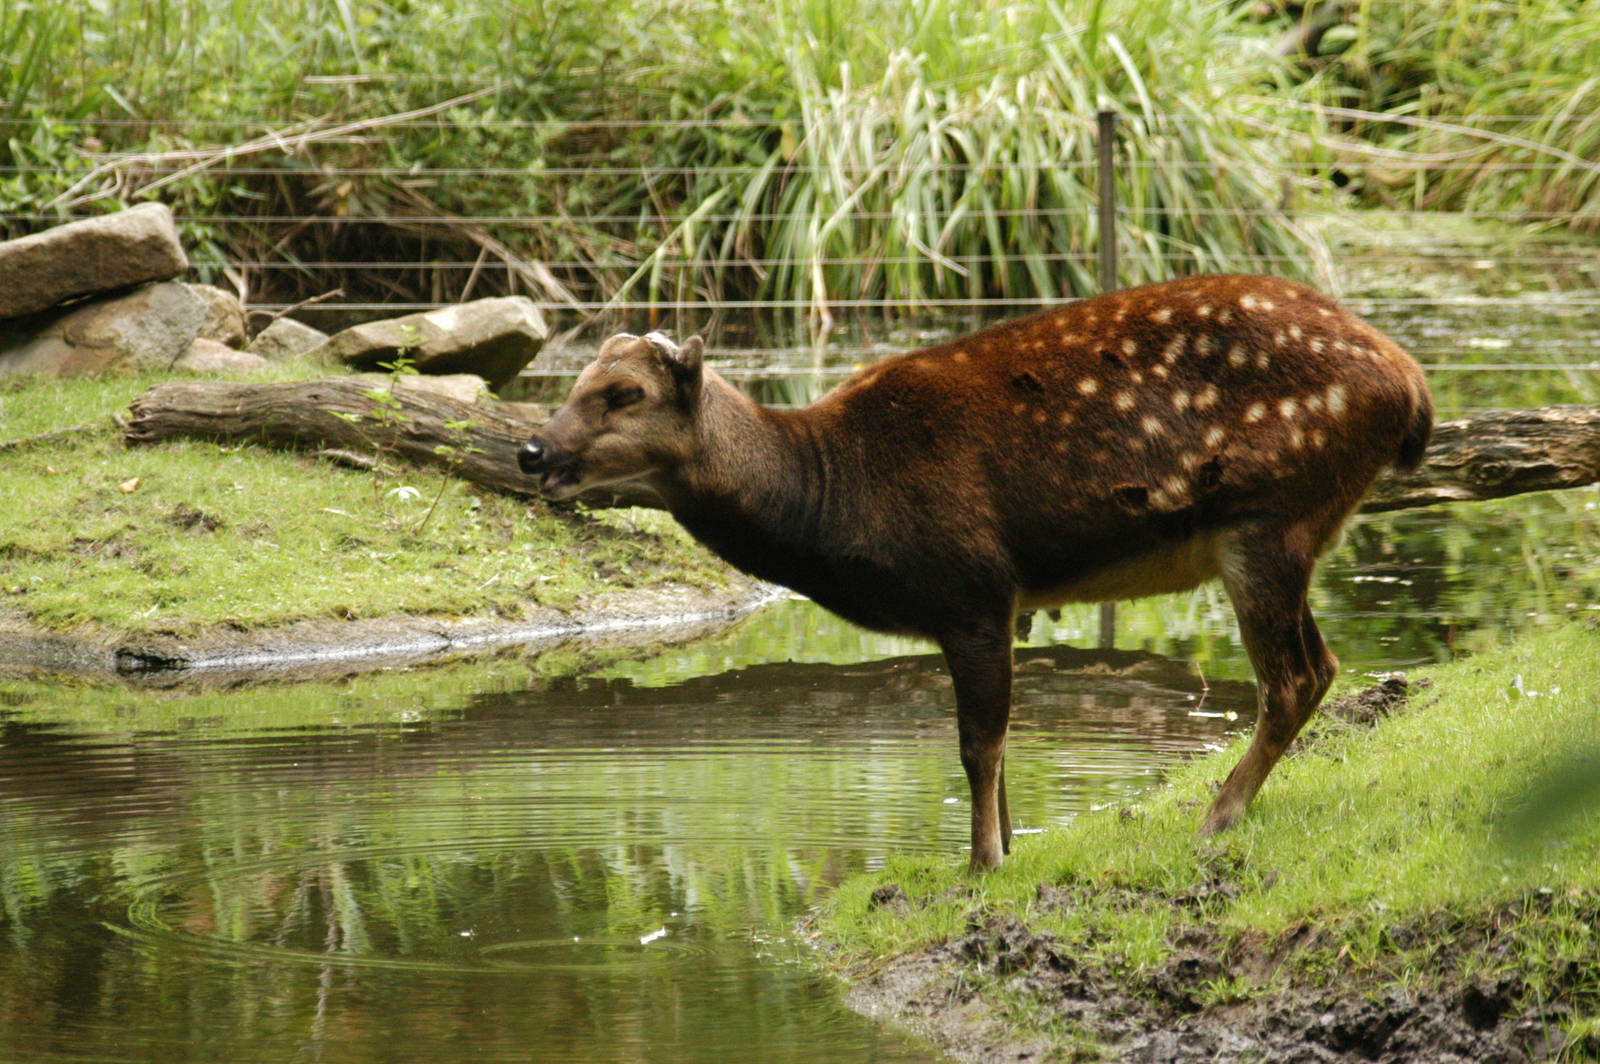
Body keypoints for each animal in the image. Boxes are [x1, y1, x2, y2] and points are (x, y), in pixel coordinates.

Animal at [518, 275, 1433, 872]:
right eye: (575, 382)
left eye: (624, 394)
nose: (532, 450)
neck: (838, 499)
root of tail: (1411, 385)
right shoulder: (991, 604)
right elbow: (998, 739)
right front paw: (1007, 846)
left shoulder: (973, 587)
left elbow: (976, 741)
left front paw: (982, 862)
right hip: (1291, 529)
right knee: (1322, 667)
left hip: (1269, 515)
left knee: (1292, 676)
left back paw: (1215, 817)